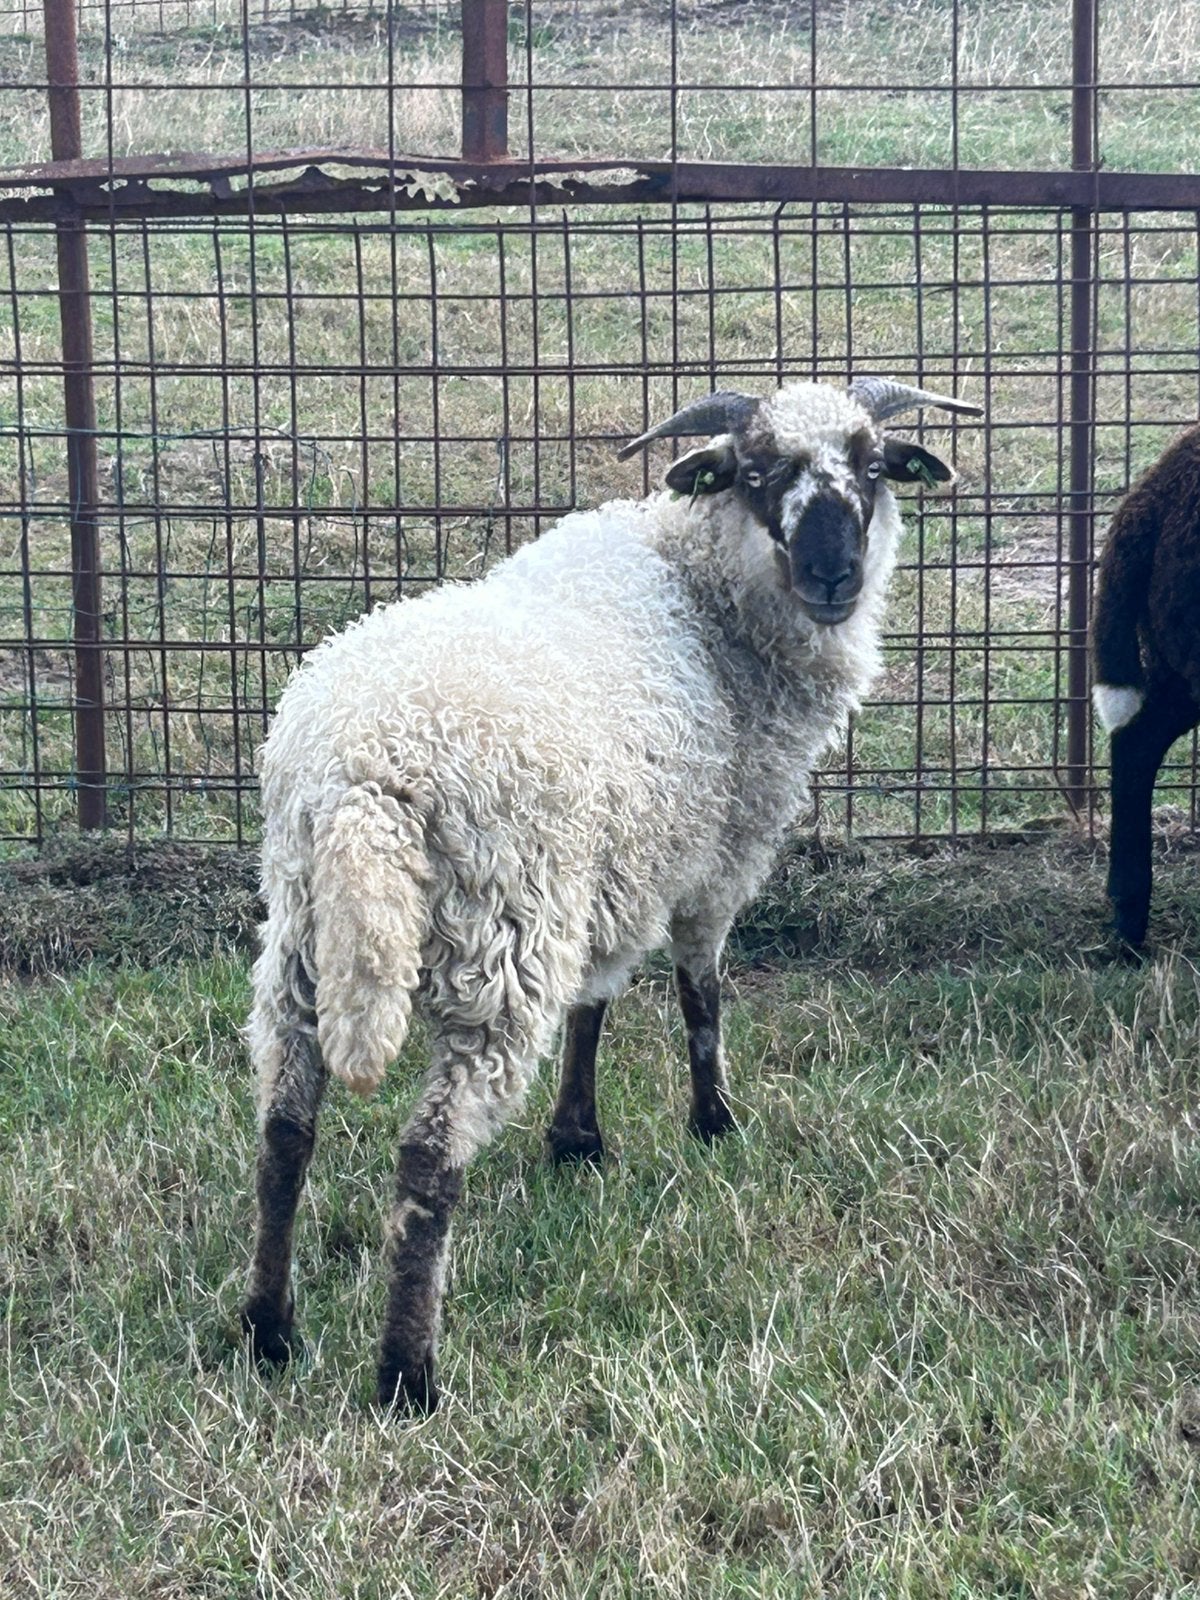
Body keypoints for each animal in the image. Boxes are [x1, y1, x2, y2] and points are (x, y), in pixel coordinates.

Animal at [239, 375, 982, 1413]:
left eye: (873, 465)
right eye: (757, 473)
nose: (835, 571)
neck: (702, 593)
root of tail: (365, 782)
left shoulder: (616, 867)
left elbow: (595, 1002)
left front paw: (576, 1139)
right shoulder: (712, 854)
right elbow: (700, 991)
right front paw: (713, 1122)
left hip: (305, 943)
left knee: (283, 1133)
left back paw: (269, 1330)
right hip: (501, 947)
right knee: (428, 1161)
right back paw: (407, 1375)